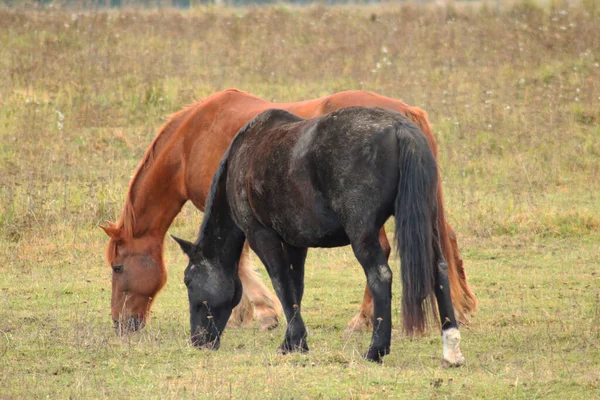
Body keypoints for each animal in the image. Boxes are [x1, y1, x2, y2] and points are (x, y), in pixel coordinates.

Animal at [102, 89, 478, 332]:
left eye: (118, 268)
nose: (120, 324)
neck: (191, 141)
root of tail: (405, 113)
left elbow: (237, 260)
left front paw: (257, 313)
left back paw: (363, 320)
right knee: (444, 241)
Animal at [171, 107, 466, 366]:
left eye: (188, 281)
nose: (198, 341)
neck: (244, 155)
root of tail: (400, 127)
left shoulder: (261, 236)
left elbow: (281, 283)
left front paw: (297, 342)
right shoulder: (295, 244)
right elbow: (295, 288)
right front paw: (291, 341)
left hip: (363, 235)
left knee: (380, 277)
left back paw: (375, 351)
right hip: (428, 225)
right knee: (439, 271)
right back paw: (451, 350)